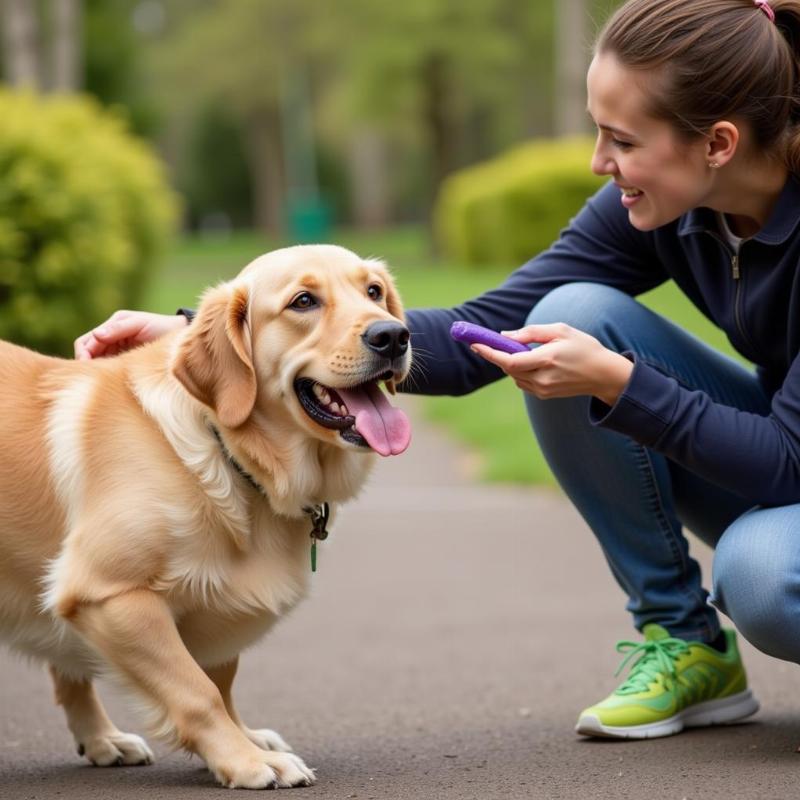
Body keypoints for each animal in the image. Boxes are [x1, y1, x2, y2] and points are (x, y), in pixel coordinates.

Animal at [0, 244, 412, 788]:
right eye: (303, 301)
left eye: (374, 292)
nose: (394, 335)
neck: (227, 451)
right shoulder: (107, 595)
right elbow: (197, 693)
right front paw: (246, 760)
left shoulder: (223, 601)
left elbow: (222, 682)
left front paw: (246, 740)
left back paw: (103, 740)